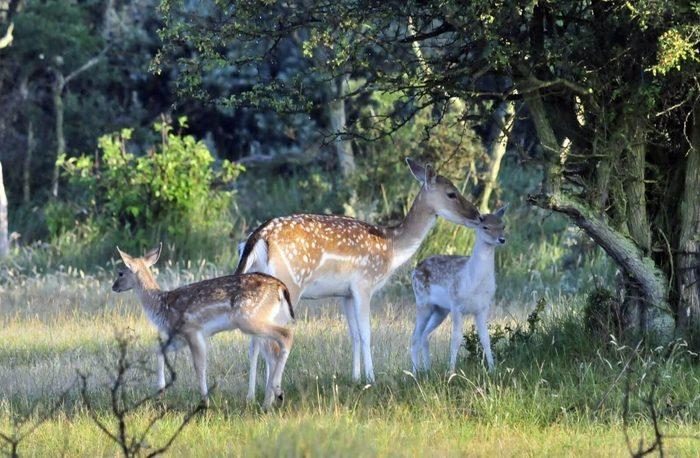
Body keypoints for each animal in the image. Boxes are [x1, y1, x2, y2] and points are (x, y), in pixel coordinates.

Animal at [111, 243, 296, 408]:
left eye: (120, 273)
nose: (113, 286)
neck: (162, 305)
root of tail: (281, 288)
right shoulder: (179, 338)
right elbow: (159, 350)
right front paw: (160, 391)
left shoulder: (192, 330)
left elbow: (199, 367)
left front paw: (205, 402)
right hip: (266, 320)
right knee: (273, 353)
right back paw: (267, 403)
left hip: (248, 319)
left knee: (286, 336)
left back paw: (277, 392)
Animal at [238, 158, 478, 382]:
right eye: (451, 193)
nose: (476, 214)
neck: (392, 248)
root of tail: (259, 237)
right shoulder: (364, 284)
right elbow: (366, 333)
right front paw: (371, 377)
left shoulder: (346, 293)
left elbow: (353, 334)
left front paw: (355, 377)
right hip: (290, 285)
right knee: (270, 341)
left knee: (254, 341)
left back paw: (253, 393)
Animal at [410, 206, 508, 374]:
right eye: (485, 227)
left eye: (503, 226)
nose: (501, 239)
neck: (474, 283)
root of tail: (415, 269)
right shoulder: (456, 304)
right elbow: (456, 338)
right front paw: (451, 371)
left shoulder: (483, 307)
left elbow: (485, 338)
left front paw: (492, 369)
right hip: (422, 302)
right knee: (415, 336)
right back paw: (415, 372)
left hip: (441, 310)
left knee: (424, 335)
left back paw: (427, 370)